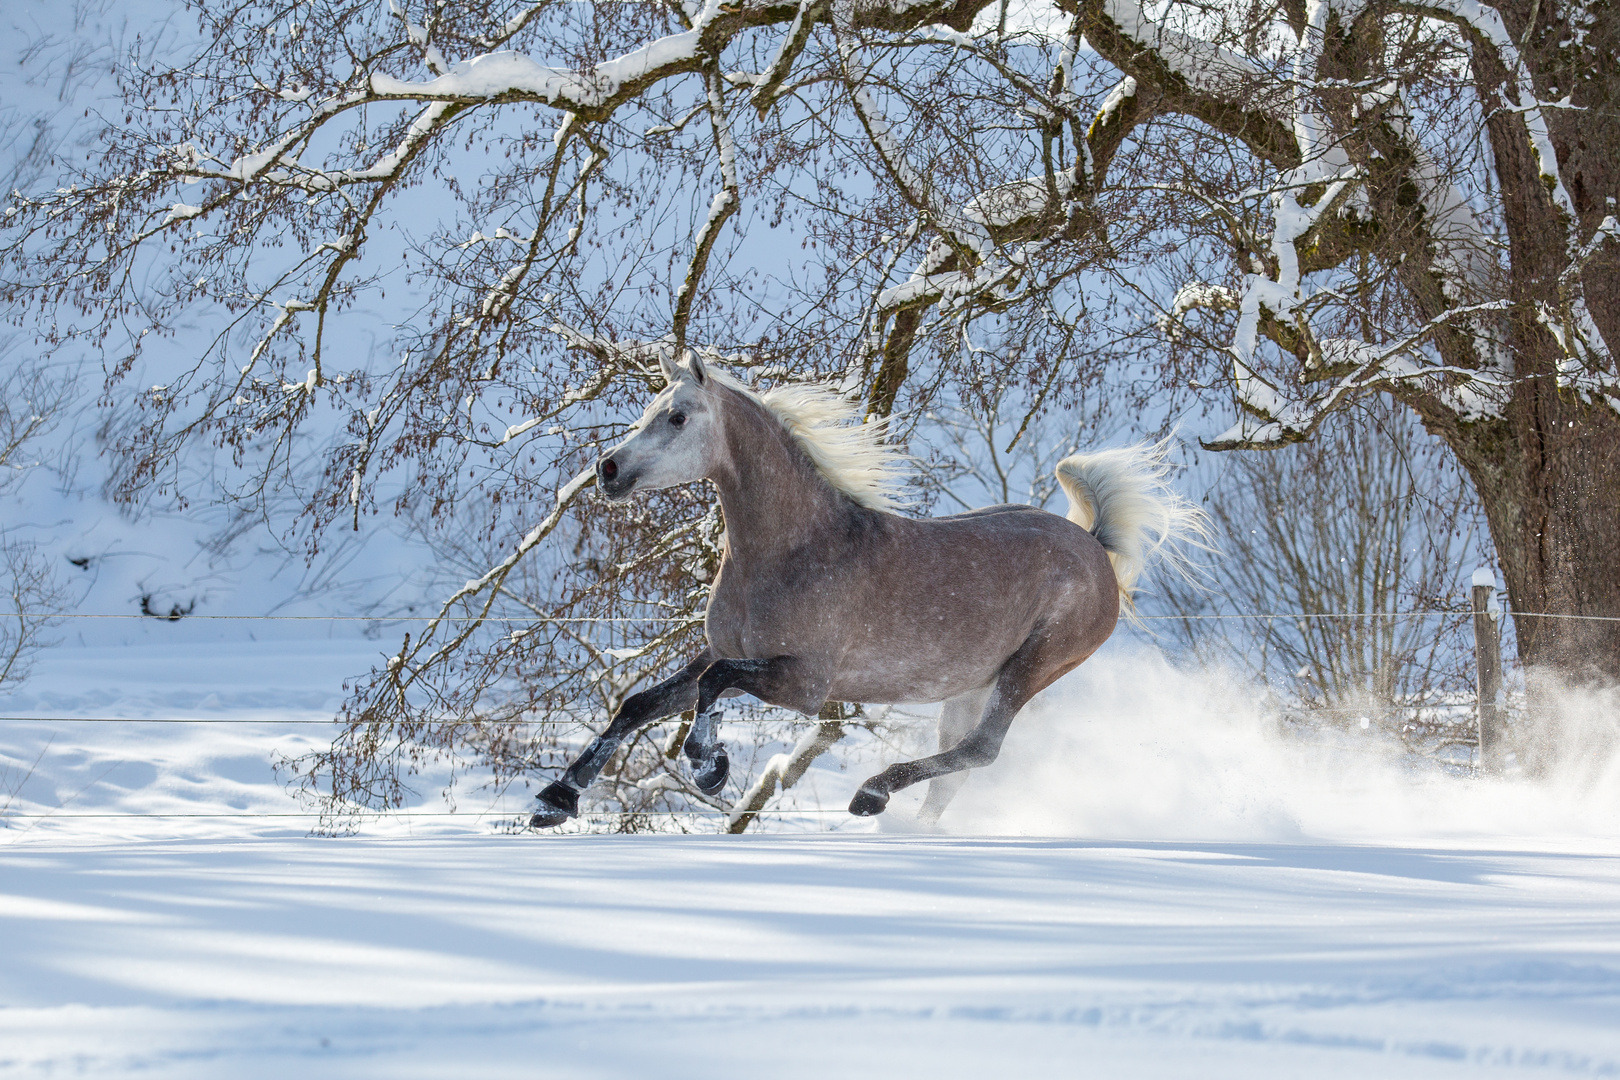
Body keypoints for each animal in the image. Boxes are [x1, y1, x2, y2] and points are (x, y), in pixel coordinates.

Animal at [531, 354, 1205, 829]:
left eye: (676, 416)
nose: (608, 471)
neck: (794, 551)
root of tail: (1094, 547)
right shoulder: (722, 650)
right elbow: (642, 703)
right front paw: (555, 799)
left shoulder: (805, 684)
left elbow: (714, 684)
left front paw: (710, 766)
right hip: (972, 685)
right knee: (956, 766)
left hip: (1032, 670)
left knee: (982, 750)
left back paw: (871, 796)